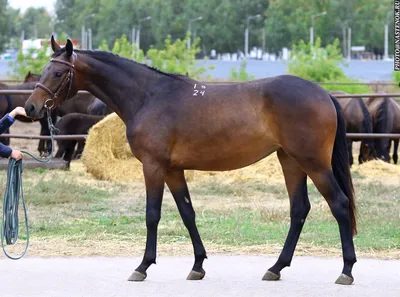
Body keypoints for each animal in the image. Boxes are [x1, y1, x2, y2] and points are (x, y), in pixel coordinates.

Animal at [23, 37, 358, 284]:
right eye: (43, 69)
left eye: (57, 72)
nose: (31, 107)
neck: (149, 96)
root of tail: (324, 94)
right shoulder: (173, 170)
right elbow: (188, 213)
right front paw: (198, 265)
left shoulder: (154, 166)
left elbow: (152, 215)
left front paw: (142, 267)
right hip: (290, 161)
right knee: (299, 209)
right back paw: (276, 267)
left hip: (313, 163)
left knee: (339, 204)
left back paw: (346, 270)